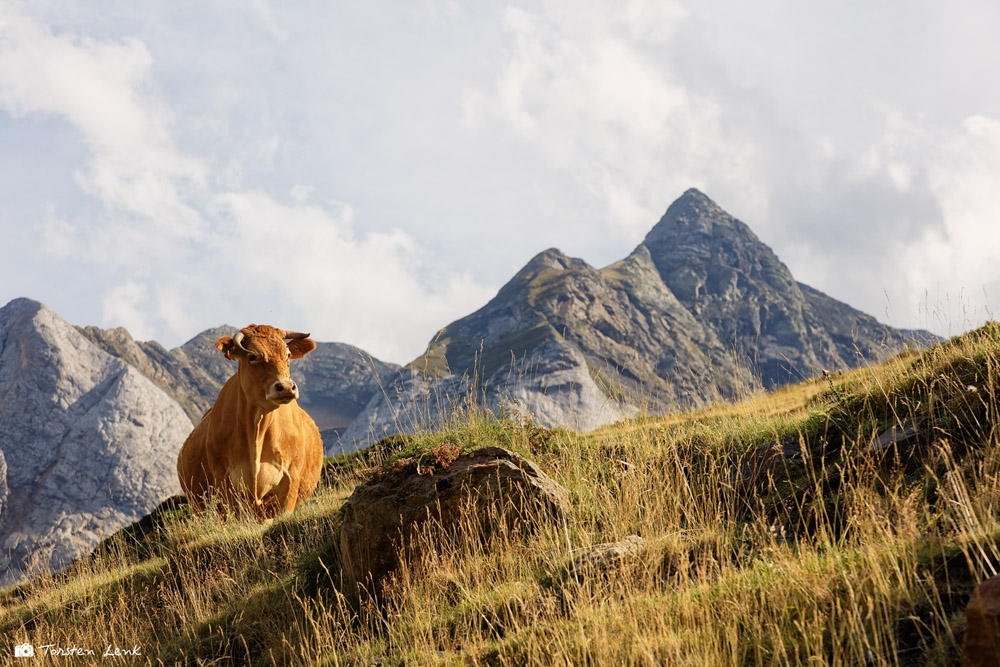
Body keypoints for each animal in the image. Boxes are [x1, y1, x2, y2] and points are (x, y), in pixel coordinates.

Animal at [176, 324, 322, 520]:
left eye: (288, 354)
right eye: (253, 356)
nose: (285, 387)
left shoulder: (291, 477)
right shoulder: (224, 481)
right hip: (199, 507)